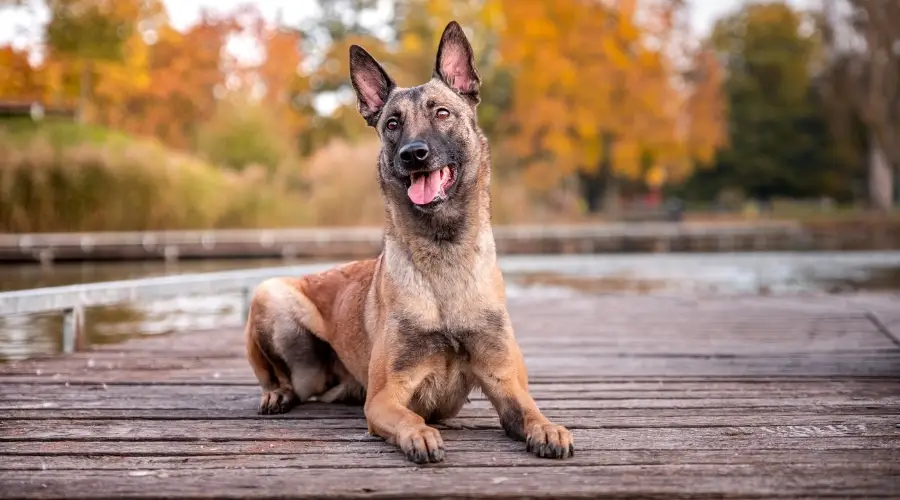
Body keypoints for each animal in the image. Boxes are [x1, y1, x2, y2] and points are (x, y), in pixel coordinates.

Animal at [243, 20, 572, 464]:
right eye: (392, 124)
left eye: (442, 112)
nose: (413, 154)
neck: (444, 252)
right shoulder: (385, 397)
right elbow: (410, 417)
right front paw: (421, 435)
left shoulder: (504, 380)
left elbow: (529, 410)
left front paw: (548, 428)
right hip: (270, 293)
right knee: (275, 376)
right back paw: (277, 394)